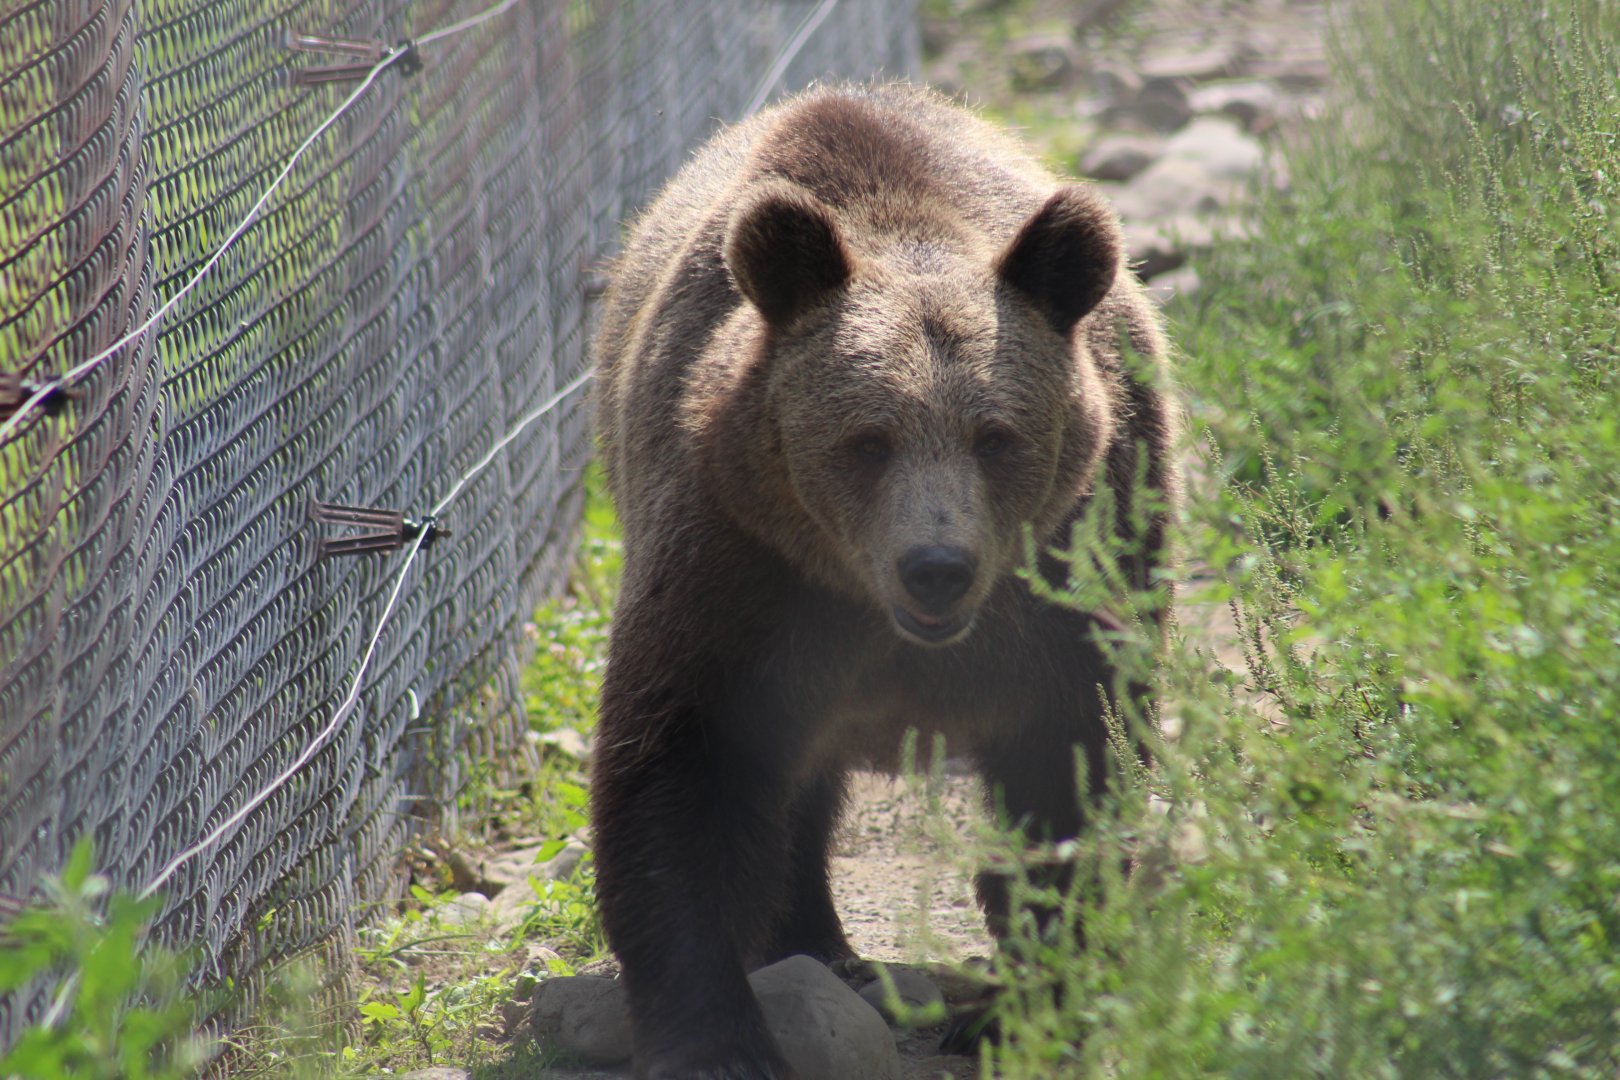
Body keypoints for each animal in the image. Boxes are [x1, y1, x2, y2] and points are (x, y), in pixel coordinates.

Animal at [590, 83, 1176, 1079]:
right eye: (866, 440)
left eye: (995, 435)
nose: (936, 567)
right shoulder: (739, 567)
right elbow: (683, 770)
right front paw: (717, 1041)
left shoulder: (1074, 568)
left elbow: (1070, 768)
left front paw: (1024, 1001)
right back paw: (824, 950)